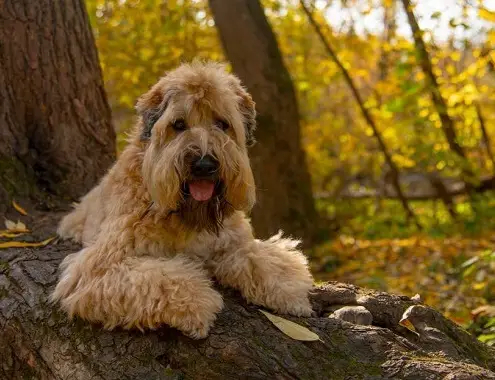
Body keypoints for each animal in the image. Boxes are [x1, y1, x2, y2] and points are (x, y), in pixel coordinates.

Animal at [51, 62, 314, 338]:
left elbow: (263, 259)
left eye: (222, 123)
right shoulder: (100, 267)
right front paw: (197, 305)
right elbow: (161, 279)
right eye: (178, 124)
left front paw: (291, 295)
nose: (204, 165)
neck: (182, 215)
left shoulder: (234, 241)